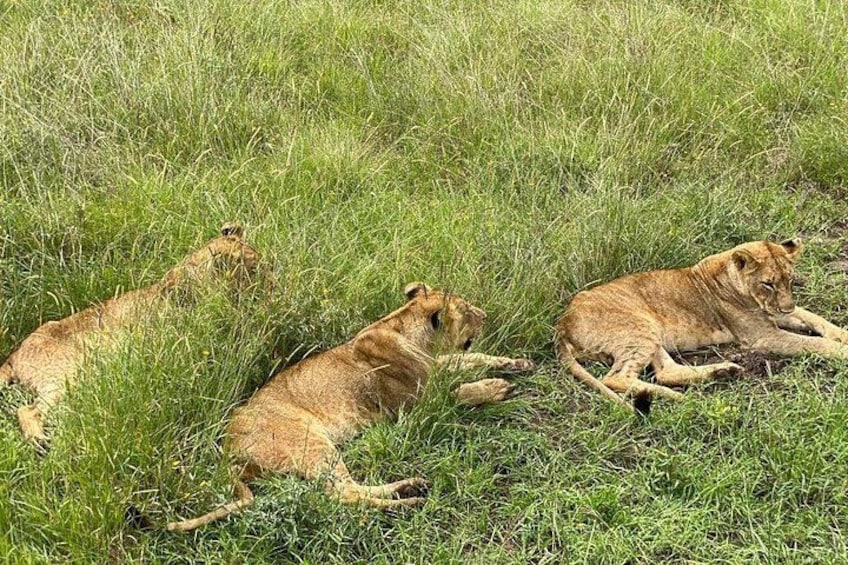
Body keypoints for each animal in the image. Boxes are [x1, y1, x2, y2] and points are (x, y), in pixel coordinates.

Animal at [1, 223, 266, 442]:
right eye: (254, 268)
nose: (271, 280)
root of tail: (15, 354)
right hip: (71, 373)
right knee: (27, 410)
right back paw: (40, 441)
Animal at [166, 282, 535, 532]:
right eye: (468, 310)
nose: (485, 315)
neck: (410, 334)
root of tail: (226, 448)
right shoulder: (416, 409)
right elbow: (461, 391)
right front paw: (496, 387)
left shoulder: (440, 367)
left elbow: (472, 358)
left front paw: (517, 362)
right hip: (311, 442)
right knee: (344, 495)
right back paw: (408, 501)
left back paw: (410, 488)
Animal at [556, 239, 848, 412]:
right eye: (767, 283)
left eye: (789, 279)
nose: (784, 307)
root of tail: (562, 323)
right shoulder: (761, 336)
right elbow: (812, 342)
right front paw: (842, 350)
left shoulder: (772, 316)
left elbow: (814, 317)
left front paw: (842, 334)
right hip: (639, 327)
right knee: (616, 378)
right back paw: (682, 398)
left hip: (650, 331)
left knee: (666, 371)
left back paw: (722, 372)